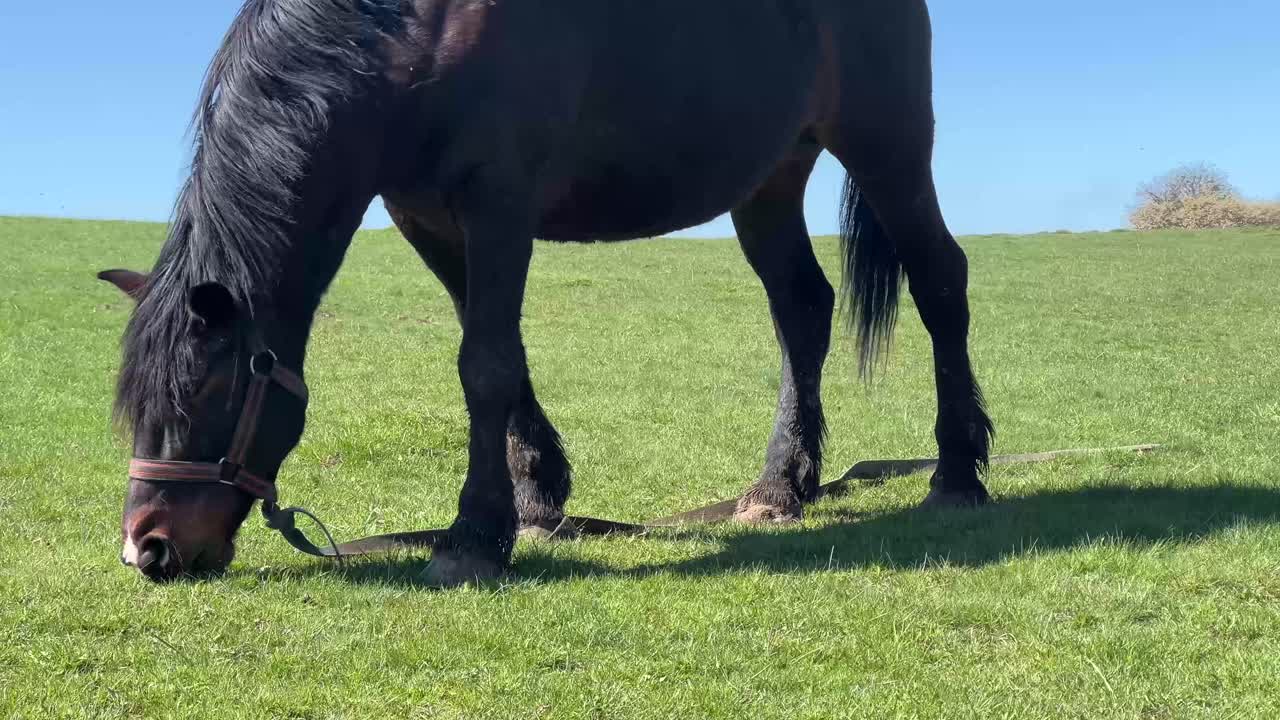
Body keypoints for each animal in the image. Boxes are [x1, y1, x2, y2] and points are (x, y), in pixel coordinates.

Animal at [99, 0, 994, 586]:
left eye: (204, 393)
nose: (147, 547)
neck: (414, 37)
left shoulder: (498, 203)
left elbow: (485, 364)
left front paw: (471, 536)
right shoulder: (426, 217)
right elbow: (500, 356)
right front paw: (535, 495)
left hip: (887, 146)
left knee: (941, 282)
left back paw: (958, 472)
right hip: (771, 177)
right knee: (801, 309)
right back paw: (781, 485)